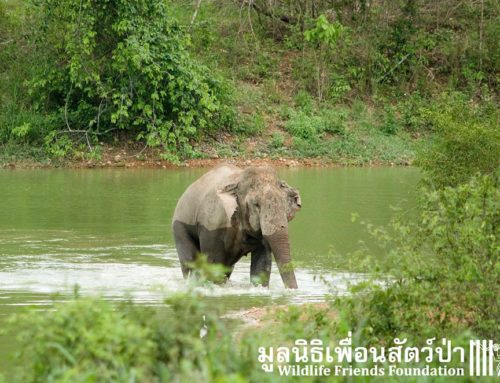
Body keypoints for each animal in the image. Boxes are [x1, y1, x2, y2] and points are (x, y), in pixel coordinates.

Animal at [172, 164, 300, 288]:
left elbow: (261, 266)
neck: (237, 181)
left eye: (284, 204)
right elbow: (213, 264)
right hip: (180, 226)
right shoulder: (212, 224)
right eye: (256, 204)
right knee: (190, 261)